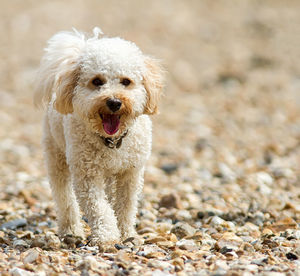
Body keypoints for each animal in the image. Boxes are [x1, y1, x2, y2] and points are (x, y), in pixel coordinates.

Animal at [35, 28, 164, 248]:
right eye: (97, 81)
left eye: (126, 81)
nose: (114, 102)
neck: (112, 141)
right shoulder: (87, 175)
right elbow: (99, 208)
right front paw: (106, 237)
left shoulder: (130, 173)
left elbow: (126, 206)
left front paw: (127, 234)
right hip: (55, 155)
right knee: (64, 197)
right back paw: (71, 231)